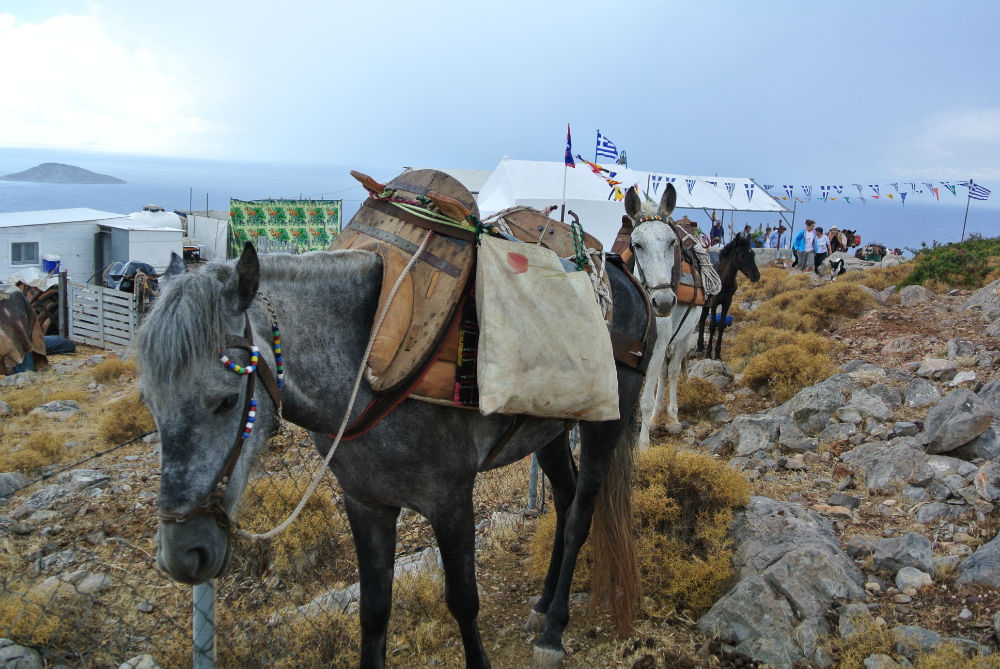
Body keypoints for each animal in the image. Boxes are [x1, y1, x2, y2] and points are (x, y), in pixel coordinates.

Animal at [137, 234, 652, 669]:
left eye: (226, 401)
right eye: (149, 403)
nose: (182, 553)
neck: (365, 360)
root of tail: (622, 273)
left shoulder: (451, 503)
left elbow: (464, 601)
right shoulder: (366, 504)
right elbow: (374, 610)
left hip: (605, 425)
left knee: (581, 514)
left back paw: (553, 631)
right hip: (549, 433)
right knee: (564, 502)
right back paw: (543, 605)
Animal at [621, 184, 701, 445]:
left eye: (671, 242)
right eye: (636, 244)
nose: (664, 302)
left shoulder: (657, 346)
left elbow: (645, 399)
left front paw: (643, 445)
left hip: (685, 336)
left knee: (672, 372)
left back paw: (672, 418)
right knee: (664, 373)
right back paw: (657, 419)